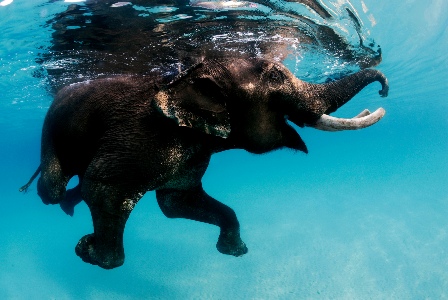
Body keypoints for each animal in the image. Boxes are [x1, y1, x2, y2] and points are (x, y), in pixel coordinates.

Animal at [19, 56, 386, 270]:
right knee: (52, 188)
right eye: (276, 76)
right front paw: (88, 251)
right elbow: (104, 188)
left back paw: (70, 202)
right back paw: (59, 198)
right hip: (50, 132)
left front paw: (235, 250)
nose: (383, 90)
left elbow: (175, 202)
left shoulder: (193, 156)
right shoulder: (137, 138)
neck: (181, 79)